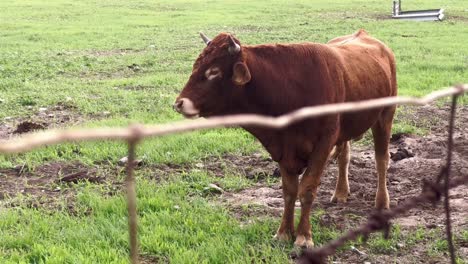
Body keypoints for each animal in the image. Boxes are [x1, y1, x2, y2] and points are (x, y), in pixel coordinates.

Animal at [174, 29, 396, 246]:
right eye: (196, 65)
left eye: (214, 71)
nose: (178, 103)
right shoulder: (284, 149)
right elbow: (289, 191)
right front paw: (283, 233)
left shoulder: (323, 145)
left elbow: (307, 190)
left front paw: (303, 236)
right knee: (344, 157)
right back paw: (341, 192)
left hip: (385, 116)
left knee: (381, 160)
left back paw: (382, 202)